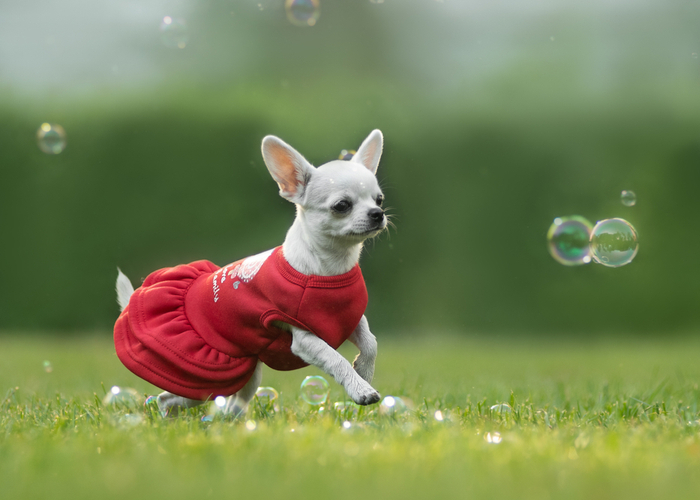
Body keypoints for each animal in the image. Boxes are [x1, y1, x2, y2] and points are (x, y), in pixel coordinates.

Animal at [116, 129, 388, 414]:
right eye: (342, 206)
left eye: (379, 199)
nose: (378, 213)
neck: (329, 268)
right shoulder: (304, 339)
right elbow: (334, 358)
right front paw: (360, 389)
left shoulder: (352, 319)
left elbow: (371, 341)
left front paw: (364, 371)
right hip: (204, 381)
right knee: (165, 399)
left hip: (244, 377)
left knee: (232, 405)